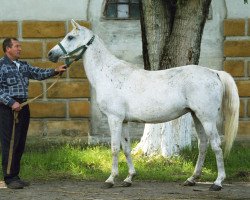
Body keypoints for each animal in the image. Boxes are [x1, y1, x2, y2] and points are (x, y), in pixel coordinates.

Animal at [47, 19, 239, 191]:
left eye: (70, 37)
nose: (50, 54)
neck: (107, 73)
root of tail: (214, 73)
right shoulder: (123, 121)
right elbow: (126, 148)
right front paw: (129, 178)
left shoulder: (114, 119)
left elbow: (114, 148)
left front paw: (111, 179)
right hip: (196, 116)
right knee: (203, 145)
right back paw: (191, 179)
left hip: (207, 118)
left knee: (216, 145)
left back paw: (217, 183)